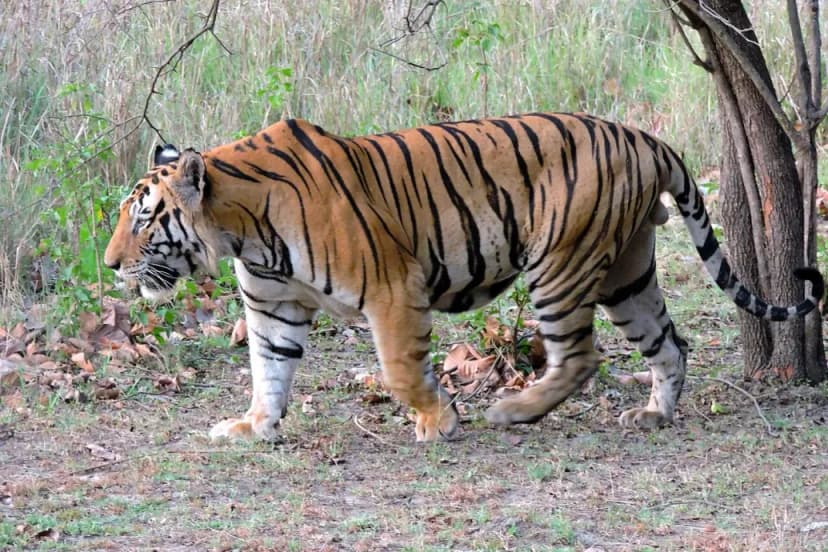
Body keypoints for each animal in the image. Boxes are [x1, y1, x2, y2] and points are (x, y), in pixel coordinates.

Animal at [103, 112, 823, 442]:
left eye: (142, 218)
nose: (109, 265)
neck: (242, 230)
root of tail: (645, 137)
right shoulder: (274, 307)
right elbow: (269, 370)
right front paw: (253, 426)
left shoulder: (392, 289)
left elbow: (399, 369)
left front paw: (440, 420)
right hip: (628, 273)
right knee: (670, 344)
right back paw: (653, 413)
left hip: (559, 264)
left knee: (580, 355)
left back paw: (515, 409)